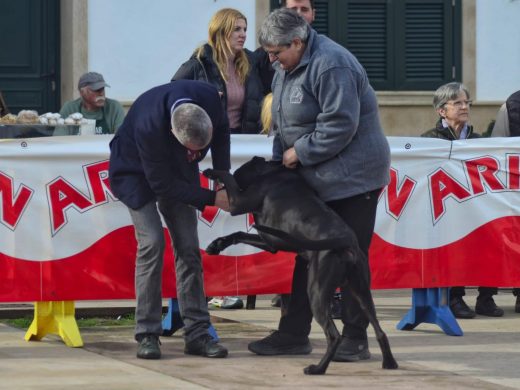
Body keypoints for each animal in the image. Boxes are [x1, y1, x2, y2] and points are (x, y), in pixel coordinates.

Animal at [204, 155, 398, 374]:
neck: (273, 171)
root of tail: (347, 243)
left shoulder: (239, 202)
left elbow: (228, 179)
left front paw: (212, 172)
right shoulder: (270, 242)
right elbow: (238, 234)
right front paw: (216, 244)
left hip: (317, 292)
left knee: (334, 336)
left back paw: (318, 369)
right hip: (362, 292)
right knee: (379, 331)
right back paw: (389, 363)